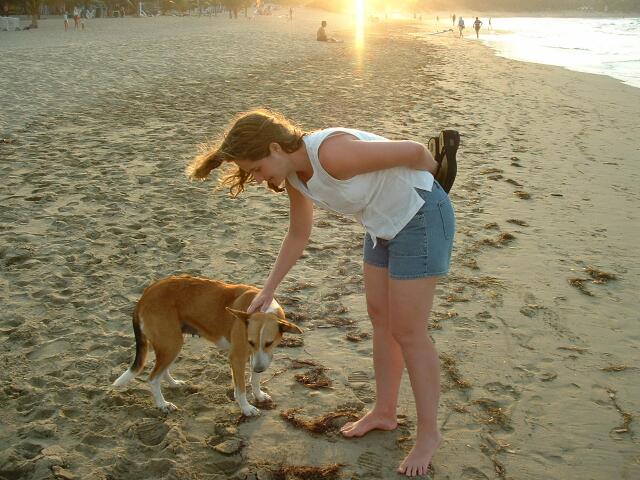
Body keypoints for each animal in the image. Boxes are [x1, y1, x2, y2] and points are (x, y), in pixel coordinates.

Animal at [112, 275, 302, 416]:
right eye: (251, 342)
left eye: (269, 343)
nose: (260, 368)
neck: (261, 309)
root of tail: (145, 295)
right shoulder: (238, 358)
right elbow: (240, 388)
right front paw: (246, 408)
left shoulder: (256, 357)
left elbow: (254, 379)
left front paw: (258, 395)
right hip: (172, 343)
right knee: (152, 378)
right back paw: (163, 404)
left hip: (171, 343)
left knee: (161, 371)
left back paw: (174, 384)